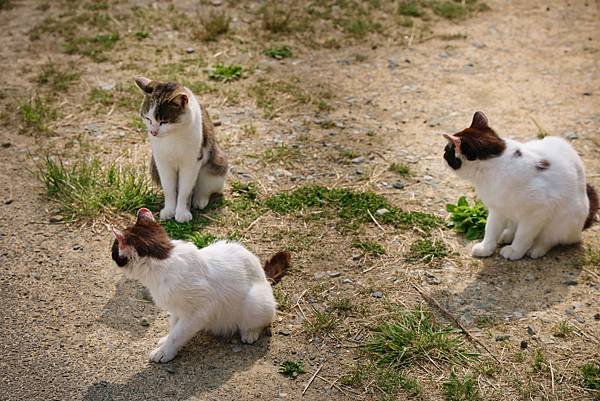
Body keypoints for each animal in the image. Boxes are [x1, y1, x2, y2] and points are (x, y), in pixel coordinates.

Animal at [113, 208, 292, 360]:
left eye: (114, 249)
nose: (112, 254)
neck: (164, 260)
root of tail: (264, 276)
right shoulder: (177, 310)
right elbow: (174, 328)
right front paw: (166, 340)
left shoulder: (199, 312)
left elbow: (178, 334)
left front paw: (165, 352)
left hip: (256, 302)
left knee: (261, 320)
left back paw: (250, 333)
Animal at [440, 111, 596, 260]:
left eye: (447, 151)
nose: (442, 155)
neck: (492, 167)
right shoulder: (497, 209)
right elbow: (490, 229)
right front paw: (486, 248)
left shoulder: (538, 211)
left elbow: (523, 235)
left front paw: (515, 250)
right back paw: (507, 235)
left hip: (565, 220)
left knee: (549, 239)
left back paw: (536, 249)